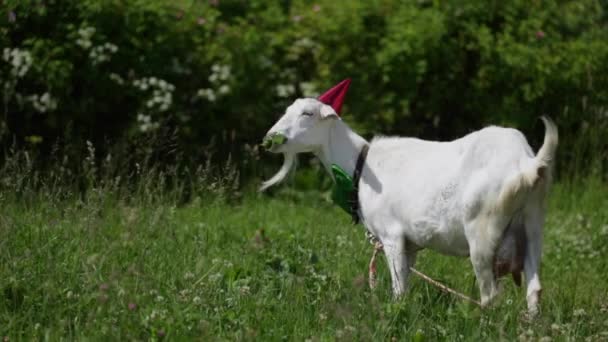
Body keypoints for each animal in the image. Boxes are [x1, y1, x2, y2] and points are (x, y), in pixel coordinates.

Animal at [262, 93, 556, 316]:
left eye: (307, 113)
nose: (270, 138)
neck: (361, 166)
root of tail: (525, 163)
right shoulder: (410, 243)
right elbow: (405, 282)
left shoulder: (391, 235)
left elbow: (398, 287)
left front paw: (394, 315)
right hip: (533, 224)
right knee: (534, 289)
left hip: (482, 231)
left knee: (491, 294)